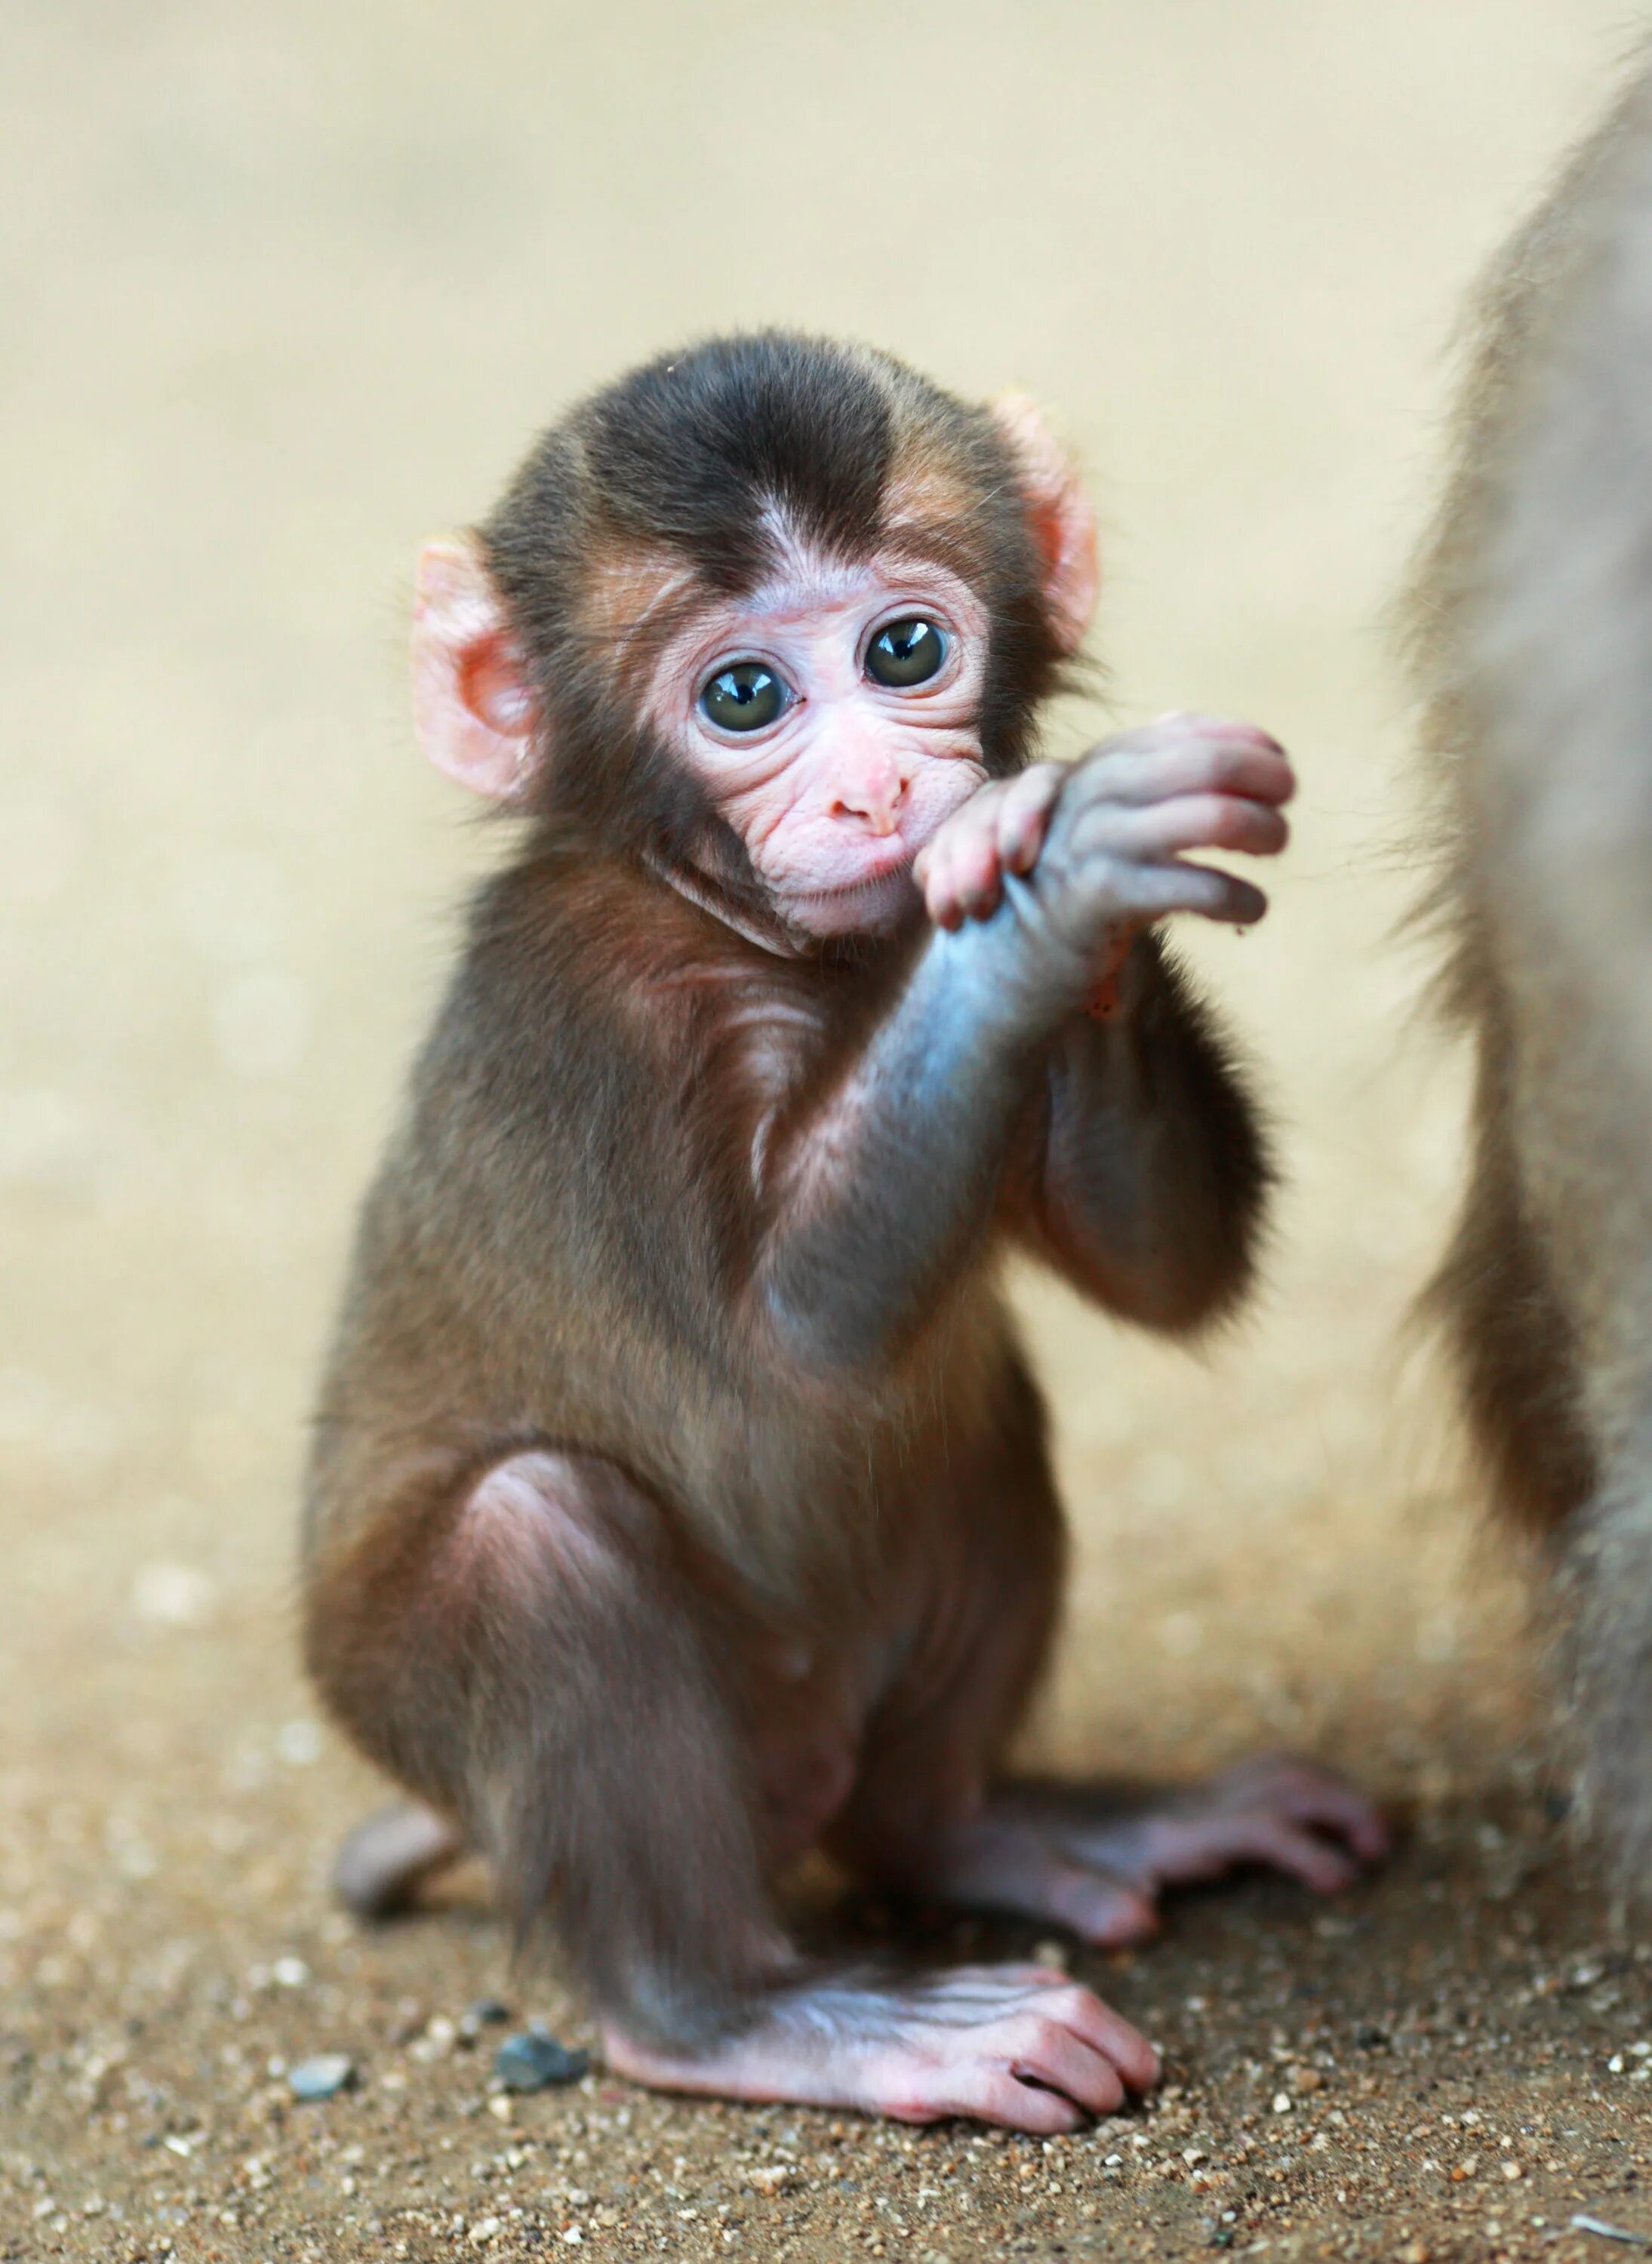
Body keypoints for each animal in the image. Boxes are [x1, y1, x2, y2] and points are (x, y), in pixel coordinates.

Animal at [305, 331, 1376, 2119]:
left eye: (904, 649)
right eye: (744, 696)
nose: (880, 790)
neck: (736, 925)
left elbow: (1163, 1267)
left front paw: (1051, 858)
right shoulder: (597, 1014)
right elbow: (791, 1342)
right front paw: (1052, 885)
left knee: (966, 1433)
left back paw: (986, 1828)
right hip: (426, 1700)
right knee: (532, 1535)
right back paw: (742, 2014)